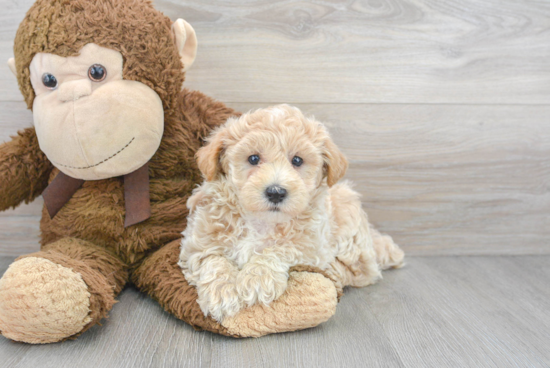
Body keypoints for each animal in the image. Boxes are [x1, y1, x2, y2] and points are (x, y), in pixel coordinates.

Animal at [179, 104, 404, 322]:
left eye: (297, 161)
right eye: (253, 158)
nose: (276, 192)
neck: (260, 221)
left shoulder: (311, 245)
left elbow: (279, 248)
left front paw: (257, 278)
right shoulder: (198, 242)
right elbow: (213, 260)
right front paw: (222, 294)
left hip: (349, 222)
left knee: (360, 271)